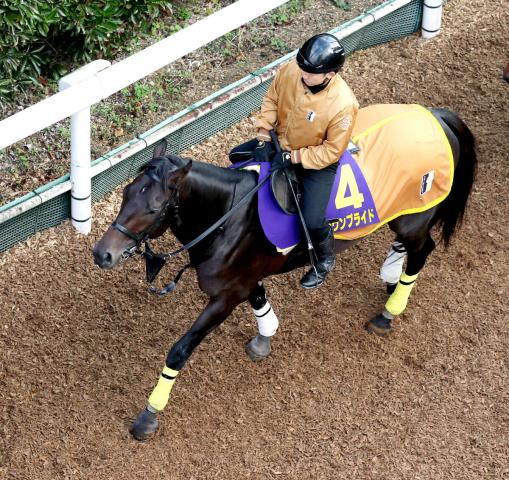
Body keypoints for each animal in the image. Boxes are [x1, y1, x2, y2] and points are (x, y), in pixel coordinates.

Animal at [92, 103, 476, 440]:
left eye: (153, 207)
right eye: (126, 194)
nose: (102, 253)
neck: (229, 215)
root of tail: (433, 115)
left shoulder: (225, 295)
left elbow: (180, 350)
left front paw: (149, 415)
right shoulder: (244, 279)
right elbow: (259, 298)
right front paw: (265, 337)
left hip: (415, 217)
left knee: (422, 250)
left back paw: (388, 311)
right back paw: (391, 277)